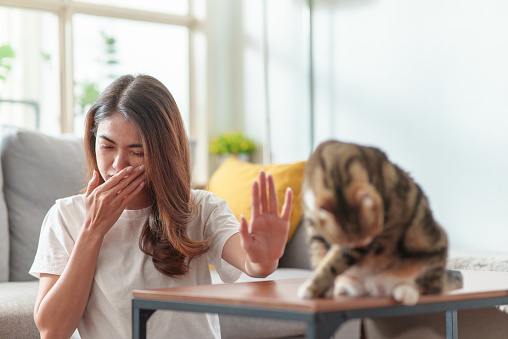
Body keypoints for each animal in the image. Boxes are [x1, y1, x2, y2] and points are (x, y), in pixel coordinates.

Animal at [296, 139, 462, 306]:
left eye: (370, 239)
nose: (369, 245)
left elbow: (334, 262)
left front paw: (311, 288)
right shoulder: (314, 229)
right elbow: (320, 256)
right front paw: (323, 288)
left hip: (427, 241)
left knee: (429, 288)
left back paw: (406, 292)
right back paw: (343, 287)